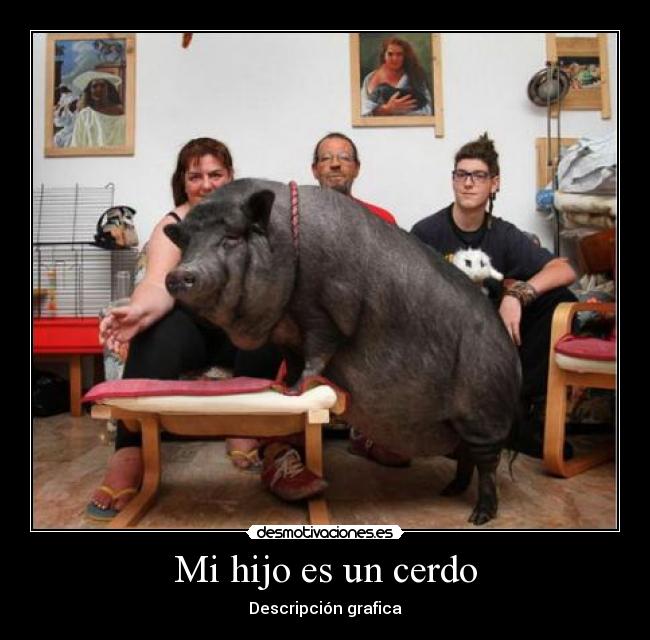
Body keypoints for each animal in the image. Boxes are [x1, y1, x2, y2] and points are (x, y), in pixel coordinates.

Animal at [164, 179, 521, 525]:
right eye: (185, 242)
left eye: (232, 237)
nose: (178, 274)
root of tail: (512, 355)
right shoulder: (287, 336)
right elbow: (294, 360)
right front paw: (281, 387)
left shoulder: (324, 315)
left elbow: (318, 353)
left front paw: (295, 391)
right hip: (462, 424)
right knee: (466, 458)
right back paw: (449, 491)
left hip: (483, 414)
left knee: (486, 465)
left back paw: (479, 516)